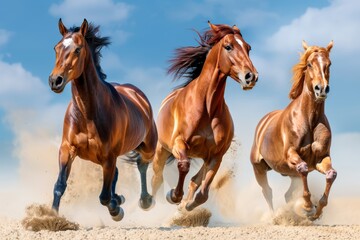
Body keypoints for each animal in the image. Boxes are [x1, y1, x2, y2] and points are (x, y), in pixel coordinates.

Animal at [48, 18, 158, 221]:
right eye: (56, 48)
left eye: (78, 49)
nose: (55, 81)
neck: (88, 114)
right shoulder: (67, 149)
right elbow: (60, 185)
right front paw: (50, 216)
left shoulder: (108, 157)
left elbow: (104, 196)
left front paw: (116, 209)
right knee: (118, 173)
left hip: (148, 147)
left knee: (141, 164)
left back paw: (145, 200)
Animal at [150, 21, 258, 211]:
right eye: (228, 46)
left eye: (248, 47)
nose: (251, 76)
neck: (207, 108)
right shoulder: (179, 144)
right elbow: (184, 166)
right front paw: (174, 196)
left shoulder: (215, 156)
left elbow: (202, 192)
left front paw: (187, 207)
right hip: (162, 149)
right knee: (157, 176)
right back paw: (146, 203)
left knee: (194, 181)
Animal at [252, 40, 336, 220]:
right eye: (310, 64)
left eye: (329, 64)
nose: (321, 89)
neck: (310, 120)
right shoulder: (291, 155)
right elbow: (303, 168)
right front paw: (308, 207)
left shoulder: (321, 158)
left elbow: (331, 174)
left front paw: (317, 210)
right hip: (259, 167)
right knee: (267, 191)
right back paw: (274, 217)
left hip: (291, 174)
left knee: (287, 194)